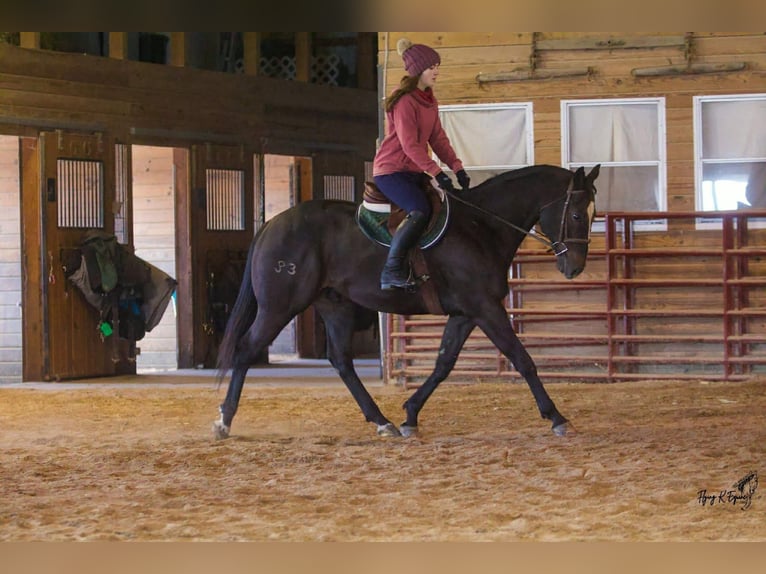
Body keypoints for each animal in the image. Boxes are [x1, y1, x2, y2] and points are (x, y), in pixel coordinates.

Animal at [213, 164, 601, 439]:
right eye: (576, 214)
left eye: (594, 215)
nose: (574, 266)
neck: (481, 227)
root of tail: (272, 224)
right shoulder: (485, 308)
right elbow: (523, 359)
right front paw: (557, 417)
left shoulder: (465, 313)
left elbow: (443, 364)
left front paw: (411, 414)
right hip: (280, 306)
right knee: (246, 350)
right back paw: (224, 421)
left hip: (334, 304)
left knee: (341, 361)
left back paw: (381, 421)